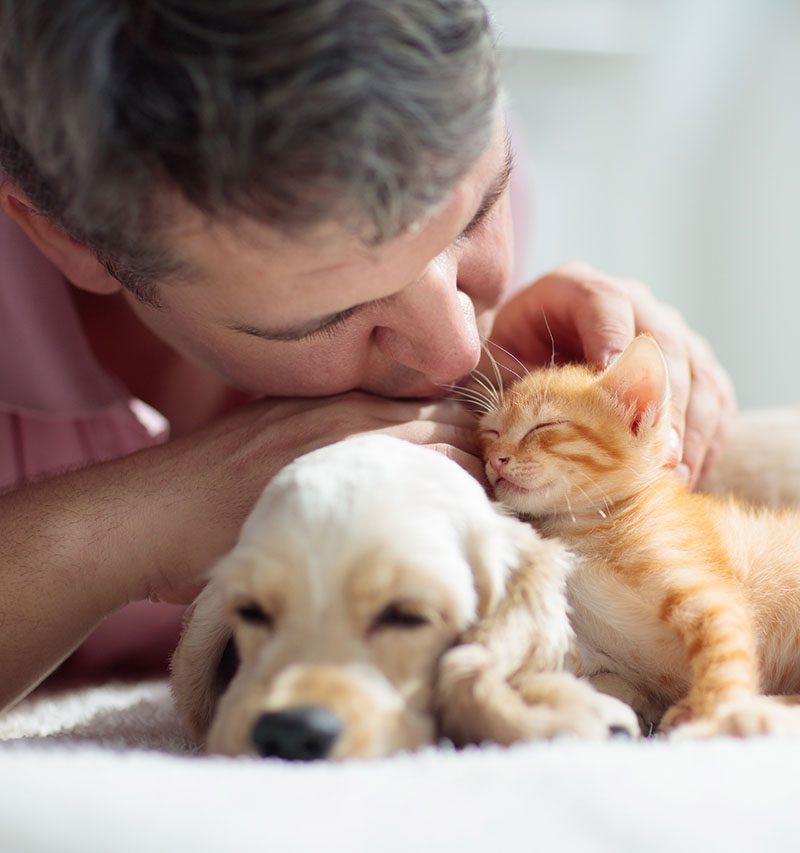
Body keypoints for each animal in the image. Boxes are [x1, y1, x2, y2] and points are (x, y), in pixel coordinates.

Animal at [478, 336, 800, 736]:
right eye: (490, 432)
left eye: (543, 426)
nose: (495, 458)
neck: (581, 525)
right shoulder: (590, 649)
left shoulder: (709, 595)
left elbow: (725, 655)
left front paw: (711, 714)